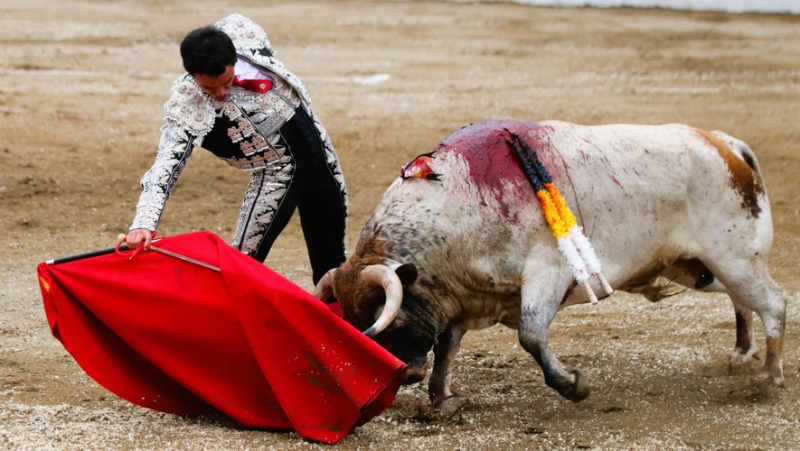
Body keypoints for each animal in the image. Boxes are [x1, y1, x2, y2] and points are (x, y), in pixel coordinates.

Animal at [314, 120, 788, 414]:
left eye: (387, 318)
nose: (406, 374)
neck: (461, 199)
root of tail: (723, 143)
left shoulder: (547, 274)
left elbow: (530, 335)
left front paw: (574, 386)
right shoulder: (466, 297)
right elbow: (448, 344)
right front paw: (442, 398)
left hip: (735, 258)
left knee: (775, 302)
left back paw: (770, 376)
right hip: (698, 268)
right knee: (743, 300)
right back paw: (742, 350)